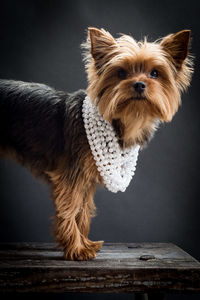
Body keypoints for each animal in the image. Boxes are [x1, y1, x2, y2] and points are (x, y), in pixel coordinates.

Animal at [0, 27, 194, 258]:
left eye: (155, 73)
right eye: (121, 73)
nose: (139, 84)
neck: (123, 122)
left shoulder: (86, 178)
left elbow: (83, 211)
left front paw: (84, 243)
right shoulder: (71, 176)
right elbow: (70, 207)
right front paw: (76, 248)